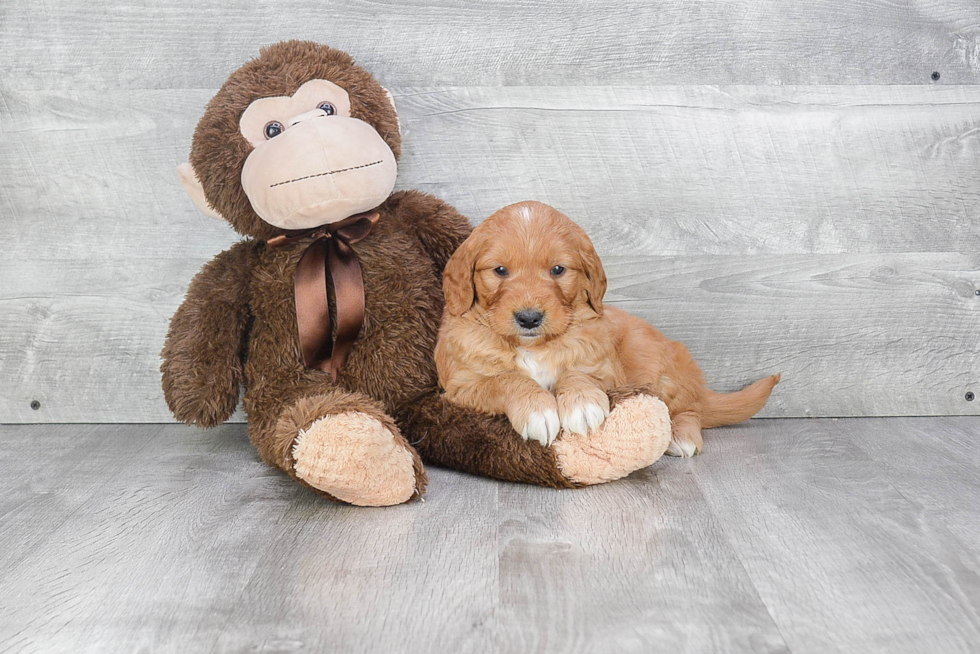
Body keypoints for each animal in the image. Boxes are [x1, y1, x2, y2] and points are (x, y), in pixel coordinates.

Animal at [436, 202, 780, 458]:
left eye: (558, 270)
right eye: (500, 271)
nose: (529, 318)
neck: (534, 347)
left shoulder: (607, 370)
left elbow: (578, 372)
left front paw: (582, 403)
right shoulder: (460, 387)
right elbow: (506, 379)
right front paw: (537, 409)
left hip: (651, 361)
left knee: (690, 408)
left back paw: (680, 436)